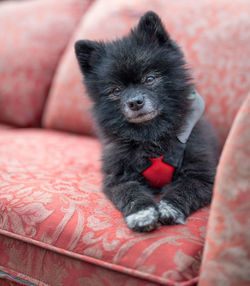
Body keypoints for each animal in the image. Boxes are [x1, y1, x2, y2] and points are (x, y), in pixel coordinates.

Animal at [75, 10, 218, 232]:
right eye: (116, 90)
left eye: (149, 79)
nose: (135, 102)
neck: (150, 134)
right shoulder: (119, 178)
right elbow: (132, 194)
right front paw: (142, 214)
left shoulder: (202, 176)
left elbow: (183, 190)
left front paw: (168, 208)